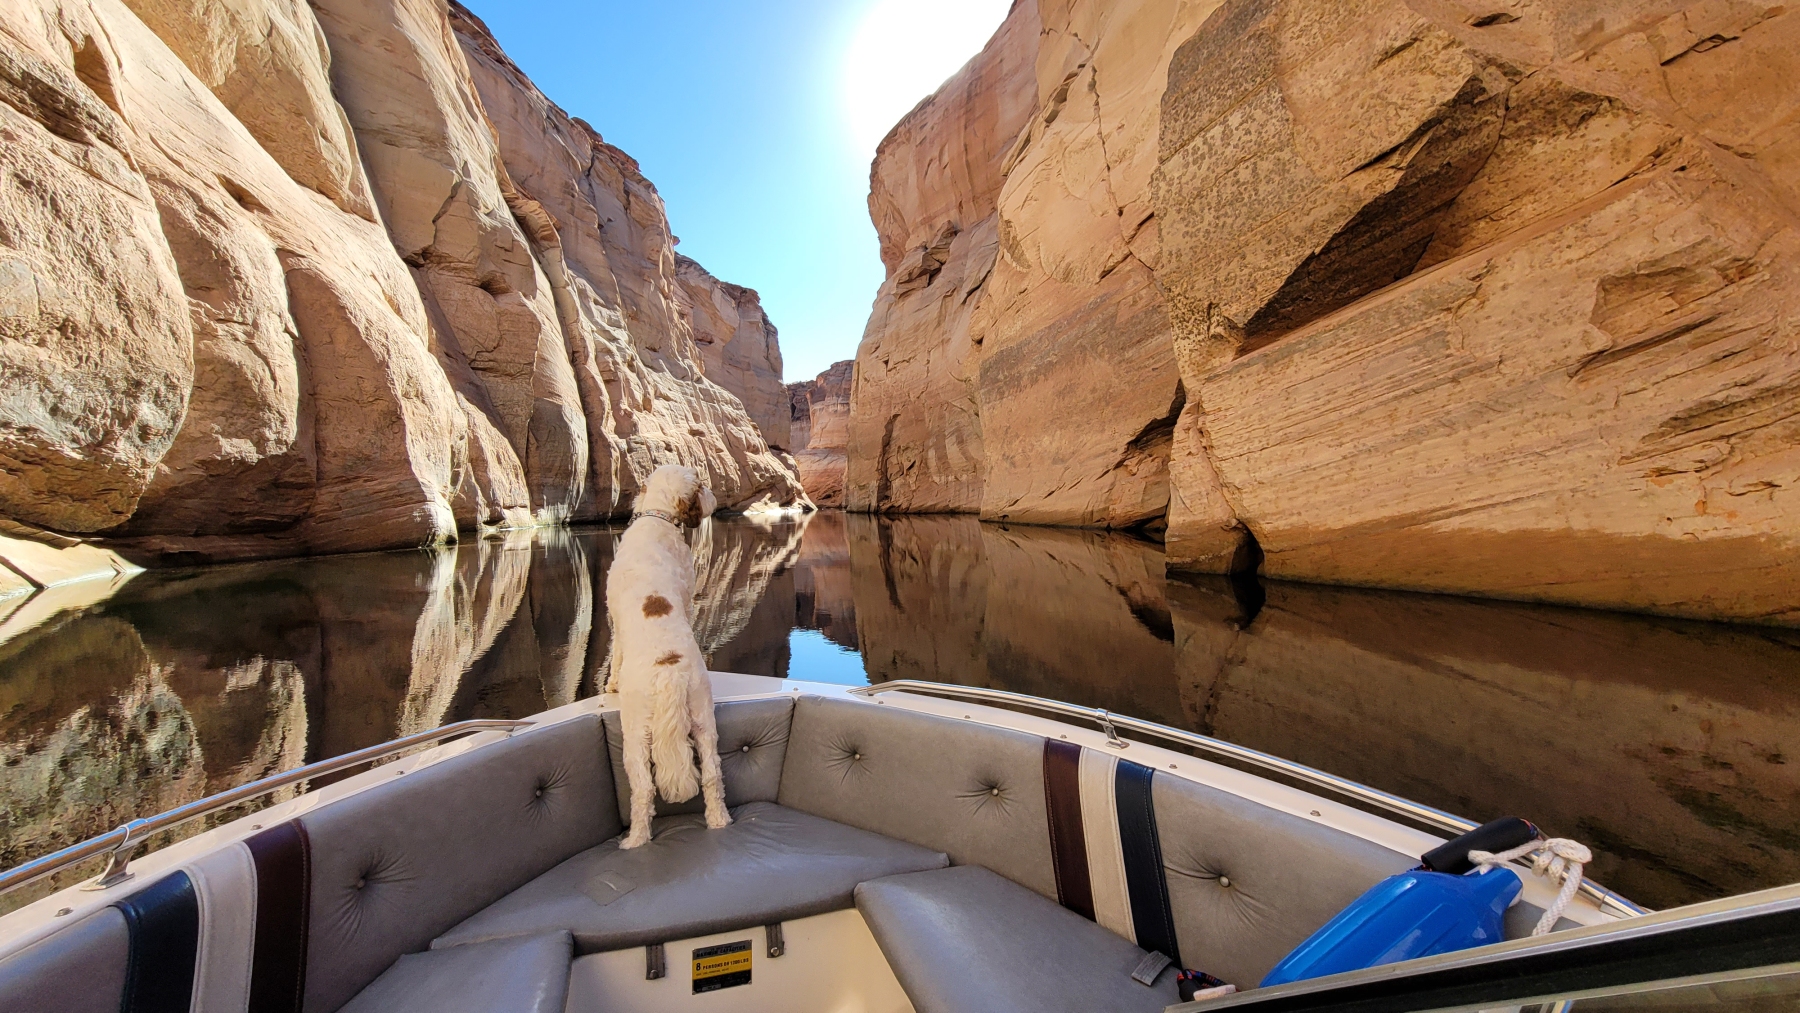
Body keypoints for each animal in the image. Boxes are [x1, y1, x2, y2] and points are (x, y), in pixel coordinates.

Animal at [608, 464, 727, 849]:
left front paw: (609, 686)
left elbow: (614, 654)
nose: (714, 495)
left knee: (644, 790)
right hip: (703, 716)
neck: (657, 518)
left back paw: (634, 841)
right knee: (712, 774)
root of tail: (669, 670)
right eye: (701, 485)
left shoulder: (614, 620)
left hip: (634, 734)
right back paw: (720, 821)